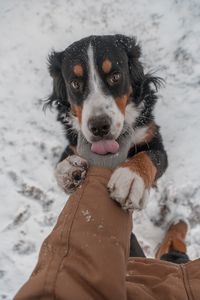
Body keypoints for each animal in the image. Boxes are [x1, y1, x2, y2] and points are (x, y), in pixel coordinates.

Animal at [44, 35, 168, 212]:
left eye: (115, 76)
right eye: (75, 83)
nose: (99, 127)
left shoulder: (151, 137)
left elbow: (149, 155)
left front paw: (131, 178)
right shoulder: (74, 143)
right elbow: (60, 164)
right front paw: (69, 169)